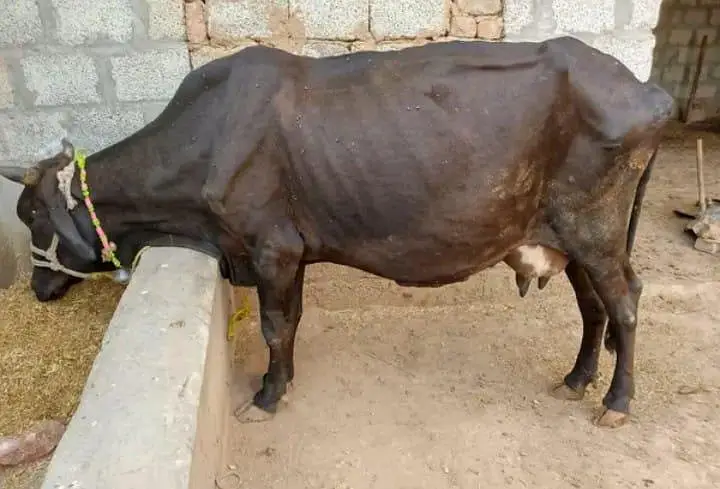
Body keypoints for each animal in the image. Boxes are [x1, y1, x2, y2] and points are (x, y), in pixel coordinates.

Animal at [0, 36, 674, 428]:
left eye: (30, 215)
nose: (36, 289)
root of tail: (648, 88)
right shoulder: (291, 252)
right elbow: (291, 321)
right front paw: (284, 381)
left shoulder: (271, 246)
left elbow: (275, 325)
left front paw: (267, 397)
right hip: (573, 237)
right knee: (593, 307)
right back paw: (577, 380)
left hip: (595, 229)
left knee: (626, 302)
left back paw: (617, 403)